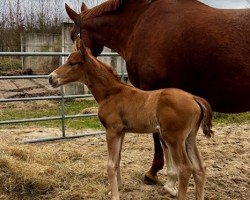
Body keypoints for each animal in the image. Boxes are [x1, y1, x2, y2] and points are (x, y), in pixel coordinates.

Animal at [48, 38, 213, 200]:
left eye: (72, 63)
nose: (51, 78)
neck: (111, 93)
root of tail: (193, 97)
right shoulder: (121, 132)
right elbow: (118, 159)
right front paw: (118, 188)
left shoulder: (112, 131)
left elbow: (110, 164)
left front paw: (115, 195)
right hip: (189, 138)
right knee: (200, 168)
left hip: (173, 139)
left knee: (185, 169)